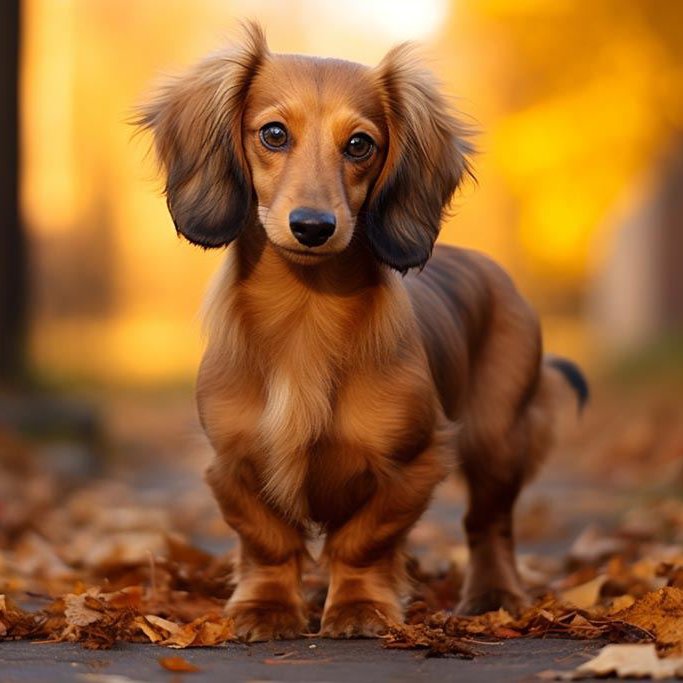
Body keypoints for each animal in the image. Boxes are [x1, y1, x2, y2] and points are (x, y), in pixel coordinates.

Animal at [135, 21, 588, 640]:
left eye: (359, 144)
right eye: (273, 133)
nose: (313, 226)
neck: (305, 315)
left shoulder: (413, 464)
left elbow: (361, 542)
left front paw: (359, 608)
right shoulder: (231, 464)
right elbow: (268, 540)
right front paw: (266, 609)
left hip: (498, 438)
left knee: (488, 523)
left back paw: (494, 594)